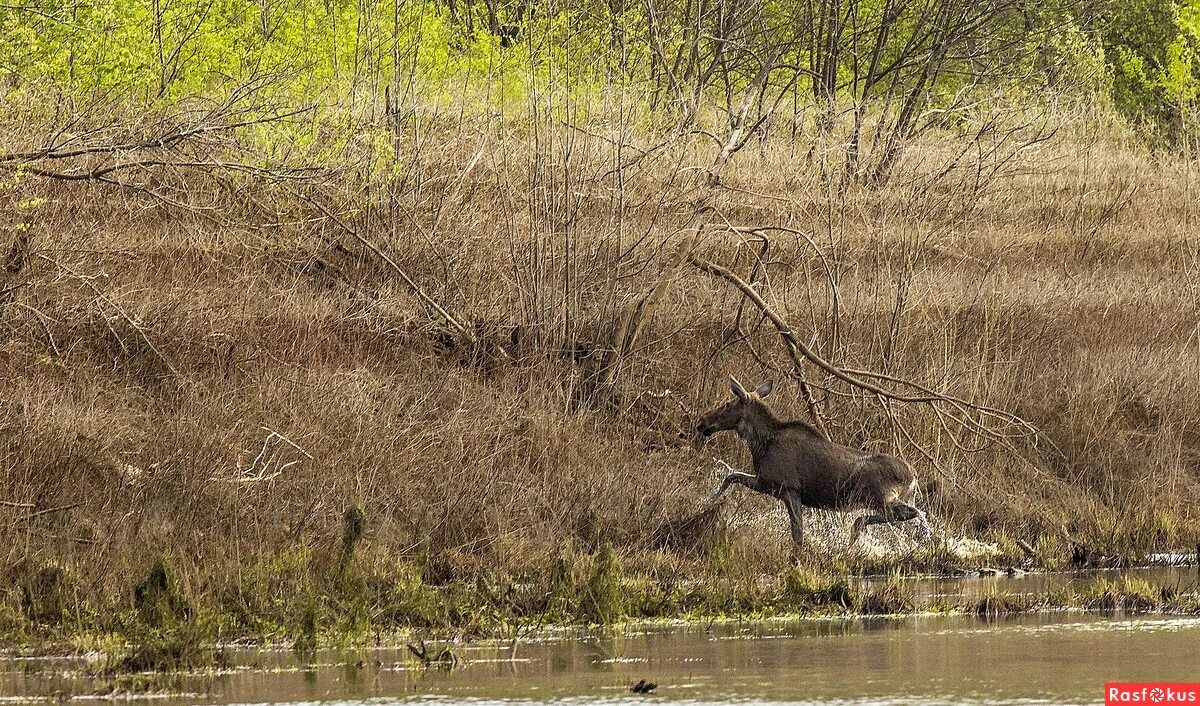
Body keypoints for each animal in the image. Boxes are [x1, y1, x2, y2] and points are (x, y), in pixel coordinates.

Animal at [696, 374, 926, 545]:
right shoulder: (765, 483)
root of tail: (913, 475)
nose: (702, 422)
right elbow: (731, 475)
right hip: (898, 497)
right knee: (916, 516)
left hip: (880, 497)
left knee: (913, 513)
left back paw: (857, 529)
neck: (760, 445)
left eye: (727, 404)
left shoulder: (790, 489)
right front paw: (708, 502)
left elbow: (798, 534)